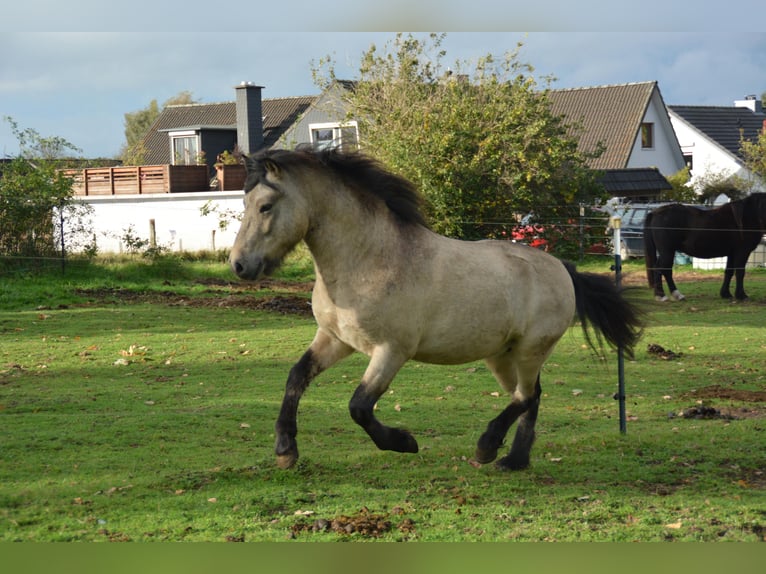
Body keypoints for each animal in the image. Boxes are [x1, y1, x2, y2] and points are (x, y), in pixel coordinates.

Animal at [229, 147, 642, 471]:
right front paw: (285, 450)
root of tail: (561, 268)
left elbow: (359, 407)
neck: (368, 261)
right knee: (530, 397)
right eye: (244, 204)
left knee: (525, 397)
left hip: (530, 350)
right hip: (502, 355)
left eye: (265, 206)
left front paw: (404, 442)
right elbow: (296, 377)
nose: (239, 265)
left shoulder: (391, 351)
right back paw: (514, 460)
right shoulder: (335, 340)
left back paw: (487, 448)